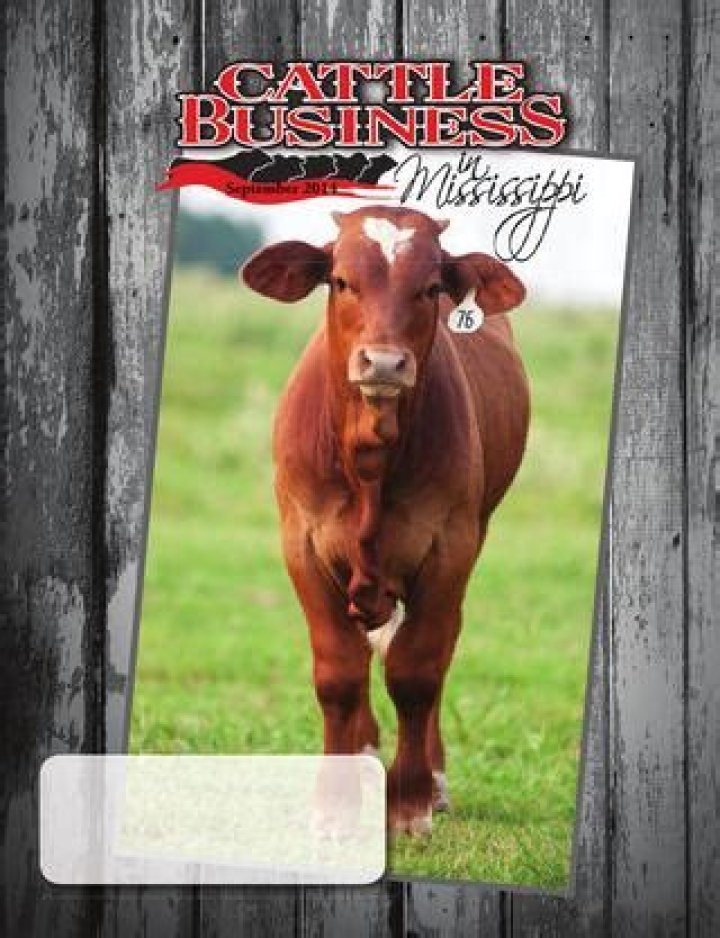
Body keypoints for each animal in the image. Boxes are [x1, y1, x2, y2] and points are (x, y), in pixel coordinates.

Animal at [241, 205, 530, 835]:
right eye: (341, 280)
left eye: (430, 288)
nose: (384, 362)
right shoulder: (302, 544)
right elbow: (339, 674)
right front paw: (334, 804)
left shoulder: (450, 547)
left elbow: (417, 671)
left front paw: (412, 804)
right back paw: (366, 754)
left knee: (432, 650)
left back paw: (434, 779)